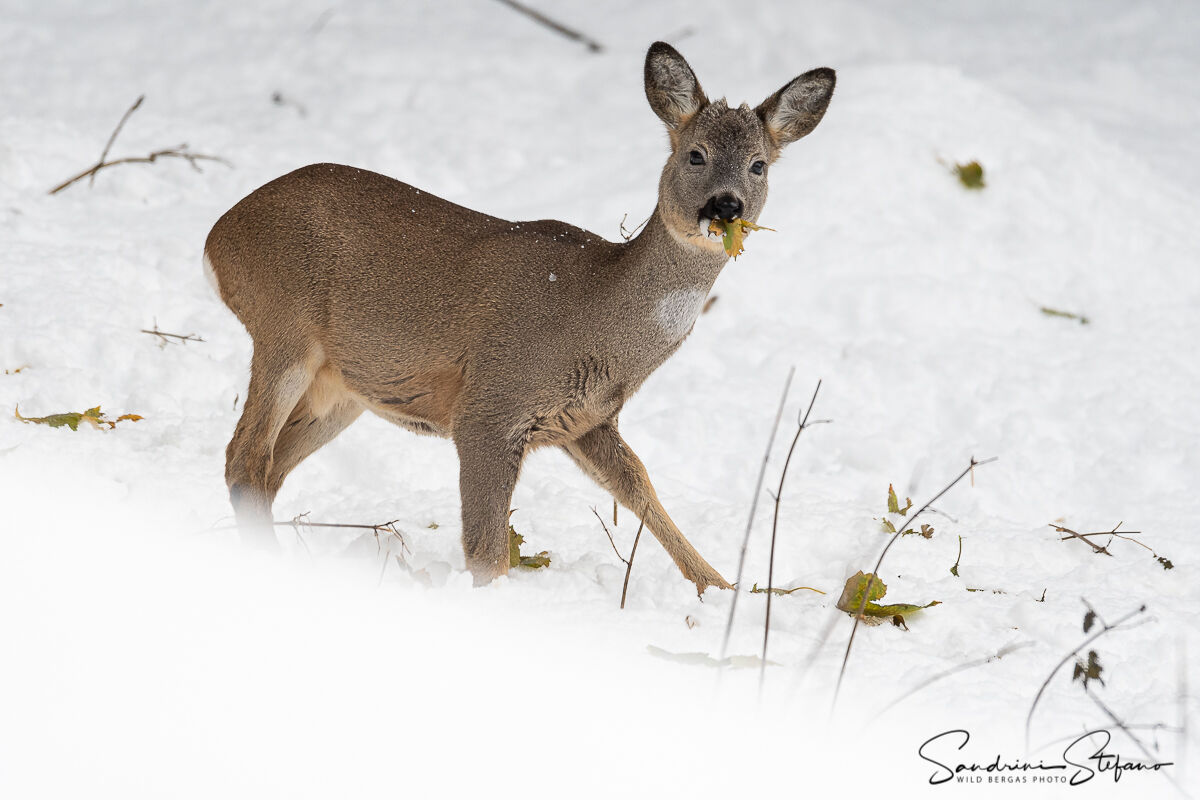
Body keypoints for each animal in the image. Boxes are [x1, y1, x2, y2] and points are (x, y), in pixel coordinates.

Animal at [205, 42, 835, 595]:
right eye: (695, 153)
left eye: (759, 165)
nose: (725, 207)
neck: (596, 317)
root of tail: (217, 235)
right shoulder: (489, 407)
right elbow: (488, 553)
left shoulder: (586, 420)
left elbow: (639, 486)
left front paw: (724, 588)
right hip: (284, 325)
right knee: (244, 458)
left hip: (345, 389)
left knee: (268, 469)